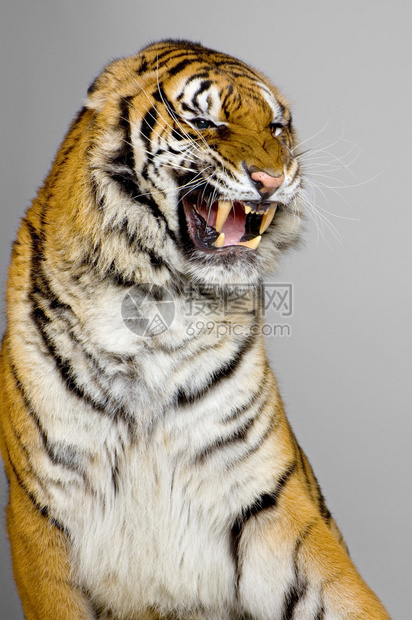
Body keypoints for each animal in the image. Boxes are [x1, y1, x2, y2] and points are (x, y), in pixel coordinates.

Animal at [0, 40, 390, 620]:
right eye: (205, 121)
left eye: (276, 127)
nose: (273, 179)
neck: (159, 306)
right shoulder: (42, 514)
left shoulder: (266, 496)